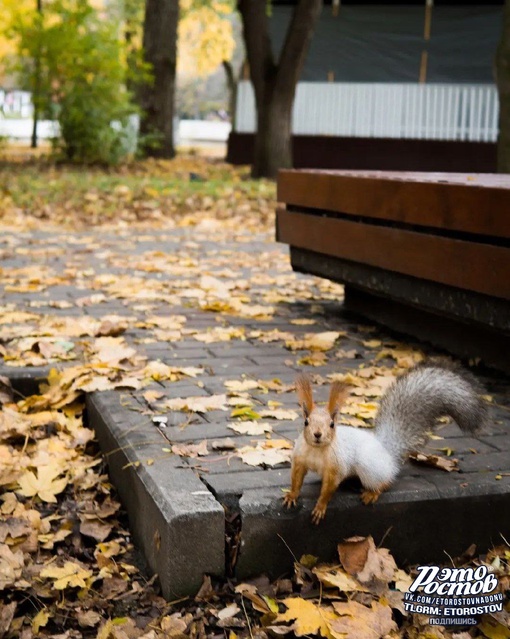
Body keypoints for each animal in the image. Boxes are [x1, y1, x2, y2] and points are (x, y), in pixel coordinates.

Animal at [284, 360, 488, 524]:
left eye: (332, 424)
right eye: (306, 422)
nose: (317, 434)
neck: (316, 450)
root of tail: (386, 451)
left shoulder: (336, 466)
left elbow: (329, 488)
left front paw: (320, 506)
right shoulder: (299, 459)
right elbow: (296, 478)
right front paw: (291, 496)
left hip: (368, 467)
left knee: (386, 481)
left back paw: (372, 493)